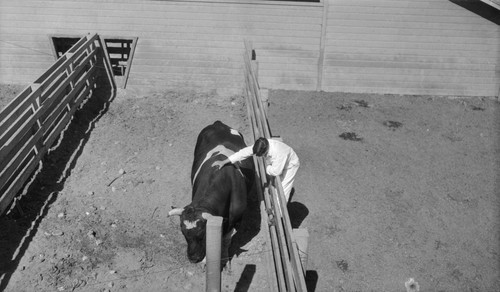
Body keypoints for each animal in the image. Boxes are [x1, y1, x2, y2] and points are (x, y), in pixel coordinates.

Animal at [168, 120, 254, 264]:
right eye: (183, 233)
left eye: (202, 233)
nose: (194, 258)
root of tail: (218, 123)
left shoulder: (235, 219)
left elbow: (225, 240)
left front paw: (224, 259)